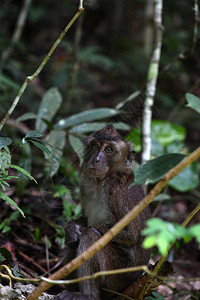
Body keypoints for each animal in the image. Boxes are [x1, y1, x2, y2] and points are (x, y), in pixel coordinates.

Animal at [55, 123, 151, 298]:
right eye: (94, 146)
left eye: (108, 149)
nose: (96, 159)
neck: (103, 181)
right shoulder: (85, 187)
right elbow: (84, 220)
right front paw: (70, 229)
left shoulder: (119, 194)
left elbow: (130, 234)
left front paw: (79, 232)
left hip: (117, 278)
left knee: (91, 236)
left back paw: (86, 296)